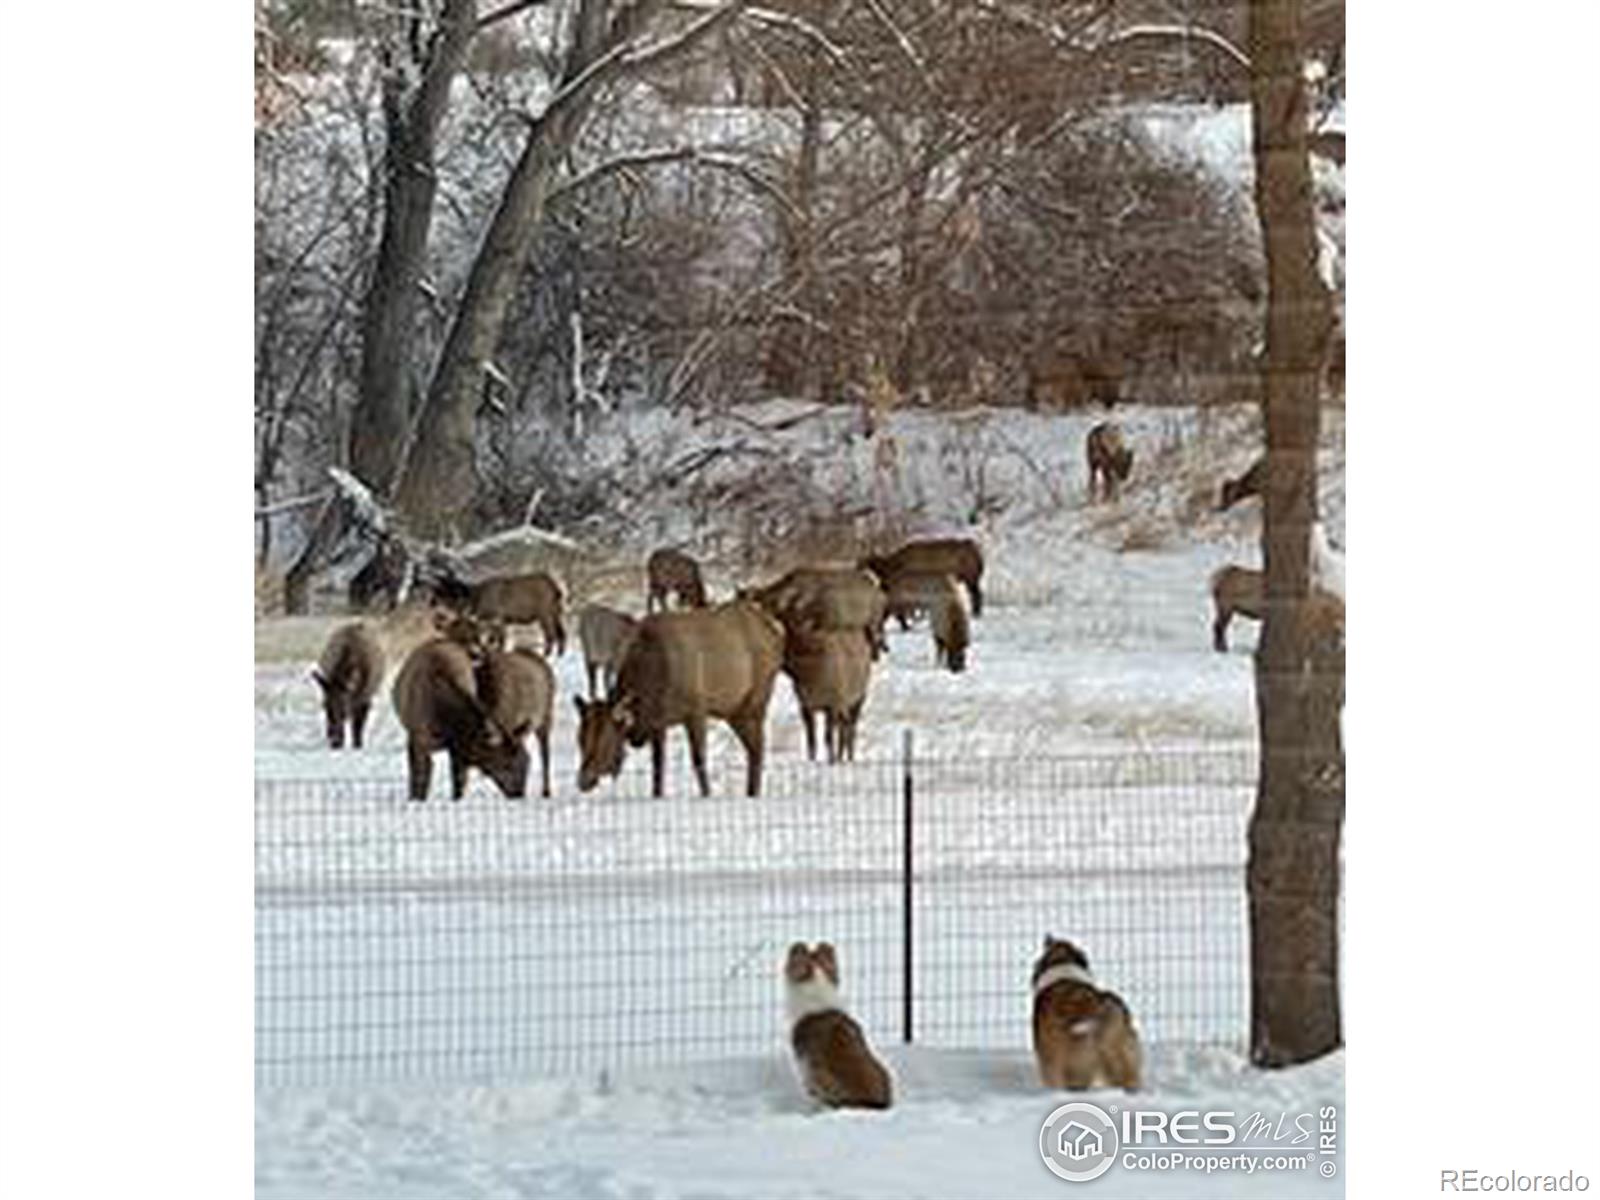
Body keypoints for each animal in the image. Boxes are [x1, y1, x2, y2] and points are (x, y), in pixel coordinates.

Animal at [312, 620, 387, 752]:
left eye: (343, 708)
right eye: (324, 706)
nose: (334, 742)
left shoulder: (365, 698)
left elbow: (358, 726)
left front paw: (357, 744)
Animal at [576, 601, 787, 800]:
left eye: (605, 740)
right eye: (580, 738)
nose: (583, 781)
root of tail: (777, 631)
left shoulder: (696, 710)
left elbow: (699, 759)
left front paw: (706, 794)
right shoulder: (658, 723)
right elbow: (658, 764)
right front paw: (657, 794)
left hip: (756, 701)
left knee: (758, 746)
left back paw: (753, 791)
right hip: (733, 710)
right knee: (752, 748)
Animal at [777, 624, 870, 764]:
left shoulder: (832, 704)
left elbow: (828, 736)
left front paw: (831, 760)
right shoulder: (806, 705)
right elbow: (811, 738)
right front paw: (812, 759)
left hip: (857, 699)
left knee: (851, 727)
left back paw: (849, 757)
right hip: (843, 705)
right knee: (844, 727)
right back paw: (841, 756)